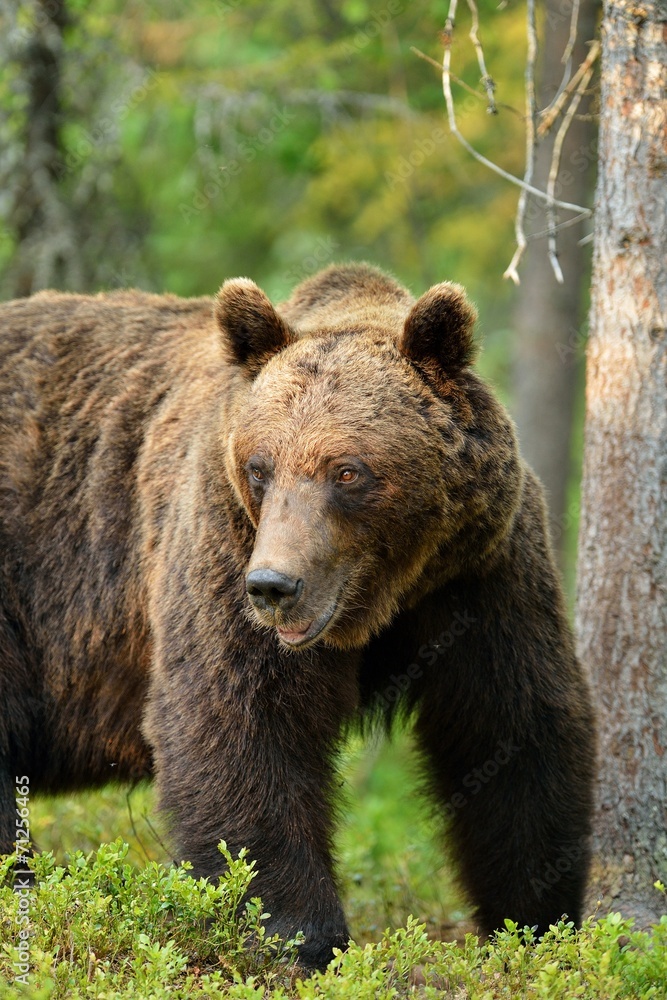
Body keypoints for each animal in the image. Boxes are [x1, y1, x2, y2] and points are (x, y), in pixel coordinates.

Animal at [0, 266, 596, 968]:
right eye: (260, 467)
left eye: (348, 470)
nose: (272, 586)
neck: (383, 600)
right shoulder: (222, 540)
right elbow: (243, 723)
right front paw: (298, 934)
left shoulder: (482, 574)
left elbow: (512, 729)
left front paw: (536, 923)